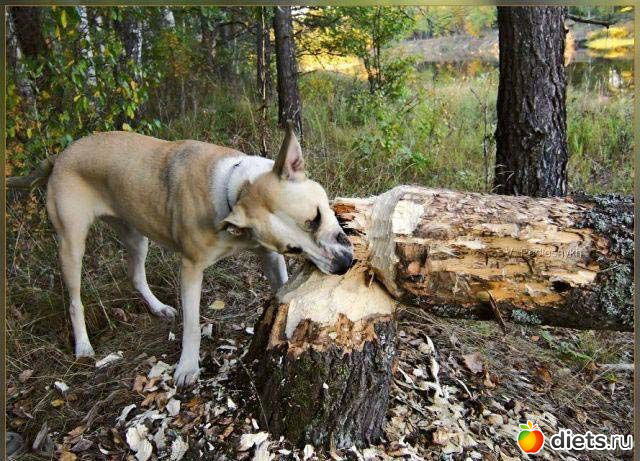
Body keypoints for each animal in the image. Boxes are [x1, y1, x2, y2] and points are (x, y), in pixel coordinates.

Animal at [44, 123, 353, 387]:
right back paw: (83, 345)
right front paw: (187, 367)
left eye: (316, 217)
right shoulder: (191, 268)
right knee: (75, 300)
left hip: (136, 234)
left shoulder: (268, 255)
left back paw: (158, 308)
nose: (343, 265)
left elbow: (282, 286)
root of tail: (60, 156)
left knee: (135, 275)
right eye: (294, 248)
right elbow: (192, 325)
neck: (236, 190)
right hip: (71, 245)